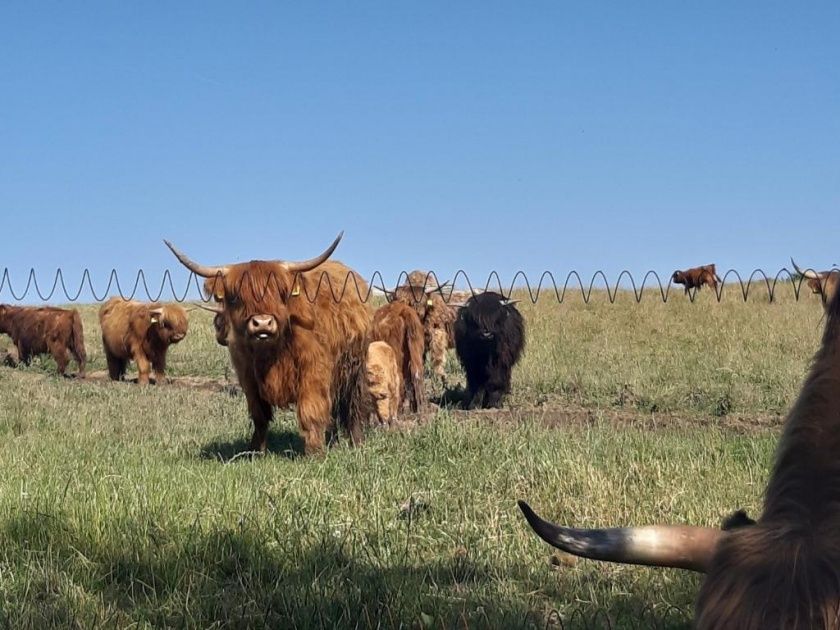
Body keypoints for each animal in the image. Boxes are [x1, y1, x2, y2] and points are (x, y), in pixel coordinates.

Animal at [167, 232, 370, 454]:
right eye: (237, 296)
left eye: (280, 292)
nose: (262, 323)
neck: (271, 353)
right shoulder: (248, 377)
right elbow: (259, 415)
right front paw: (255, 451)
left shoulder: (314, 371)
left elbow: (311, 411)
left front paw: (315, 453)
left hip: (354, 367)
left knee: (353, 406)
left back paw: (358, 444)